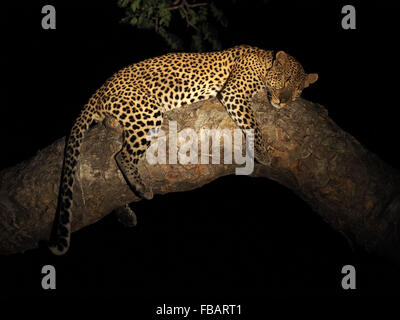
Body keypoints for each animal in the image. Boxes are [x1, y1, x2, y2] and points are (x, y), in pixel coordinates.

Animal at [48, 44, 318, 255]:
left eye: (297, 90)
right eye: (284, 80)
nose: (283, 101)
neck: (264, 62)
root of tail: (100, 89)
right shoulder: (234, 93)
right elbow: (252, 122)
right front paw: (262, 151)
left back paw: (126, 212)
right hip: (145, 112)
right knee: (122, 156)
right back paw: (142, 188)